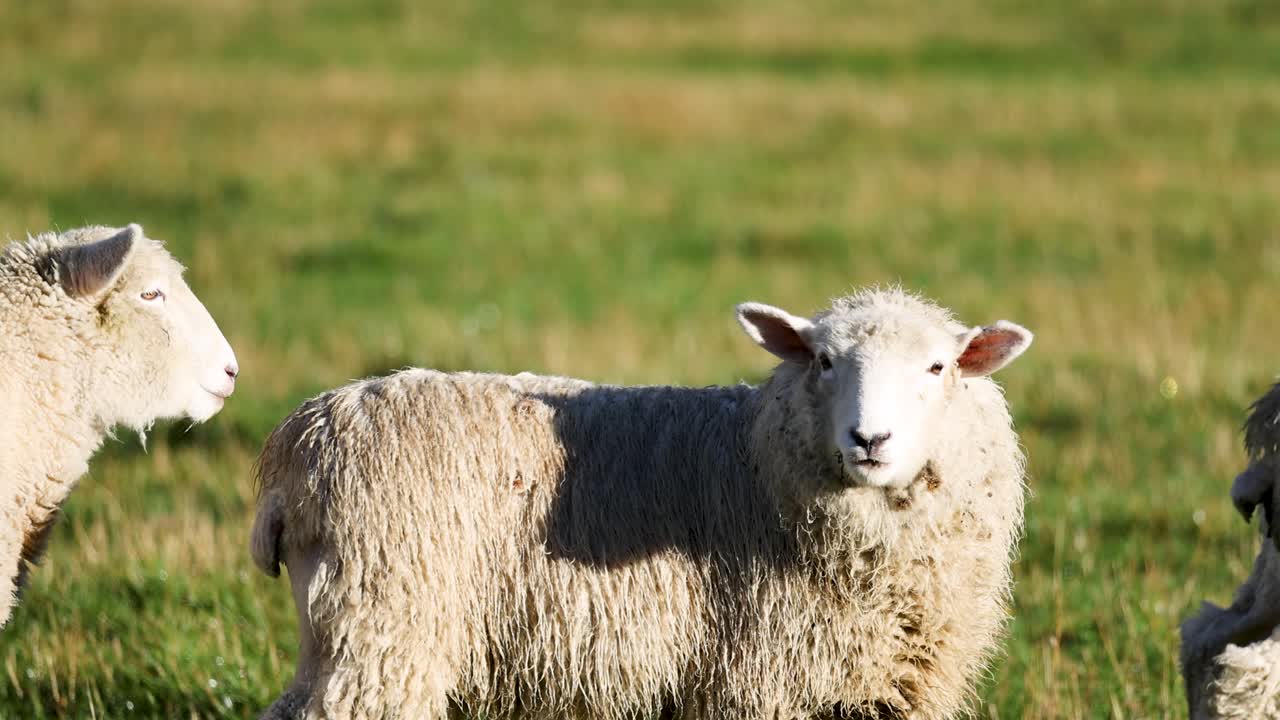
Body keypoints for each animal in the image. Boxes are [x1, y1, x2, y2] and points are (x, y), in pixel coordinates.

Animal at [252, 287, 1034, 719]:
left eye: (937, 367)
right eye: (823, 360)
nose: (869, 438)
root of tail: (300, 438)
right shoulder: (756, 680)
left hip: (349, 628)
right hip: (388, 624)